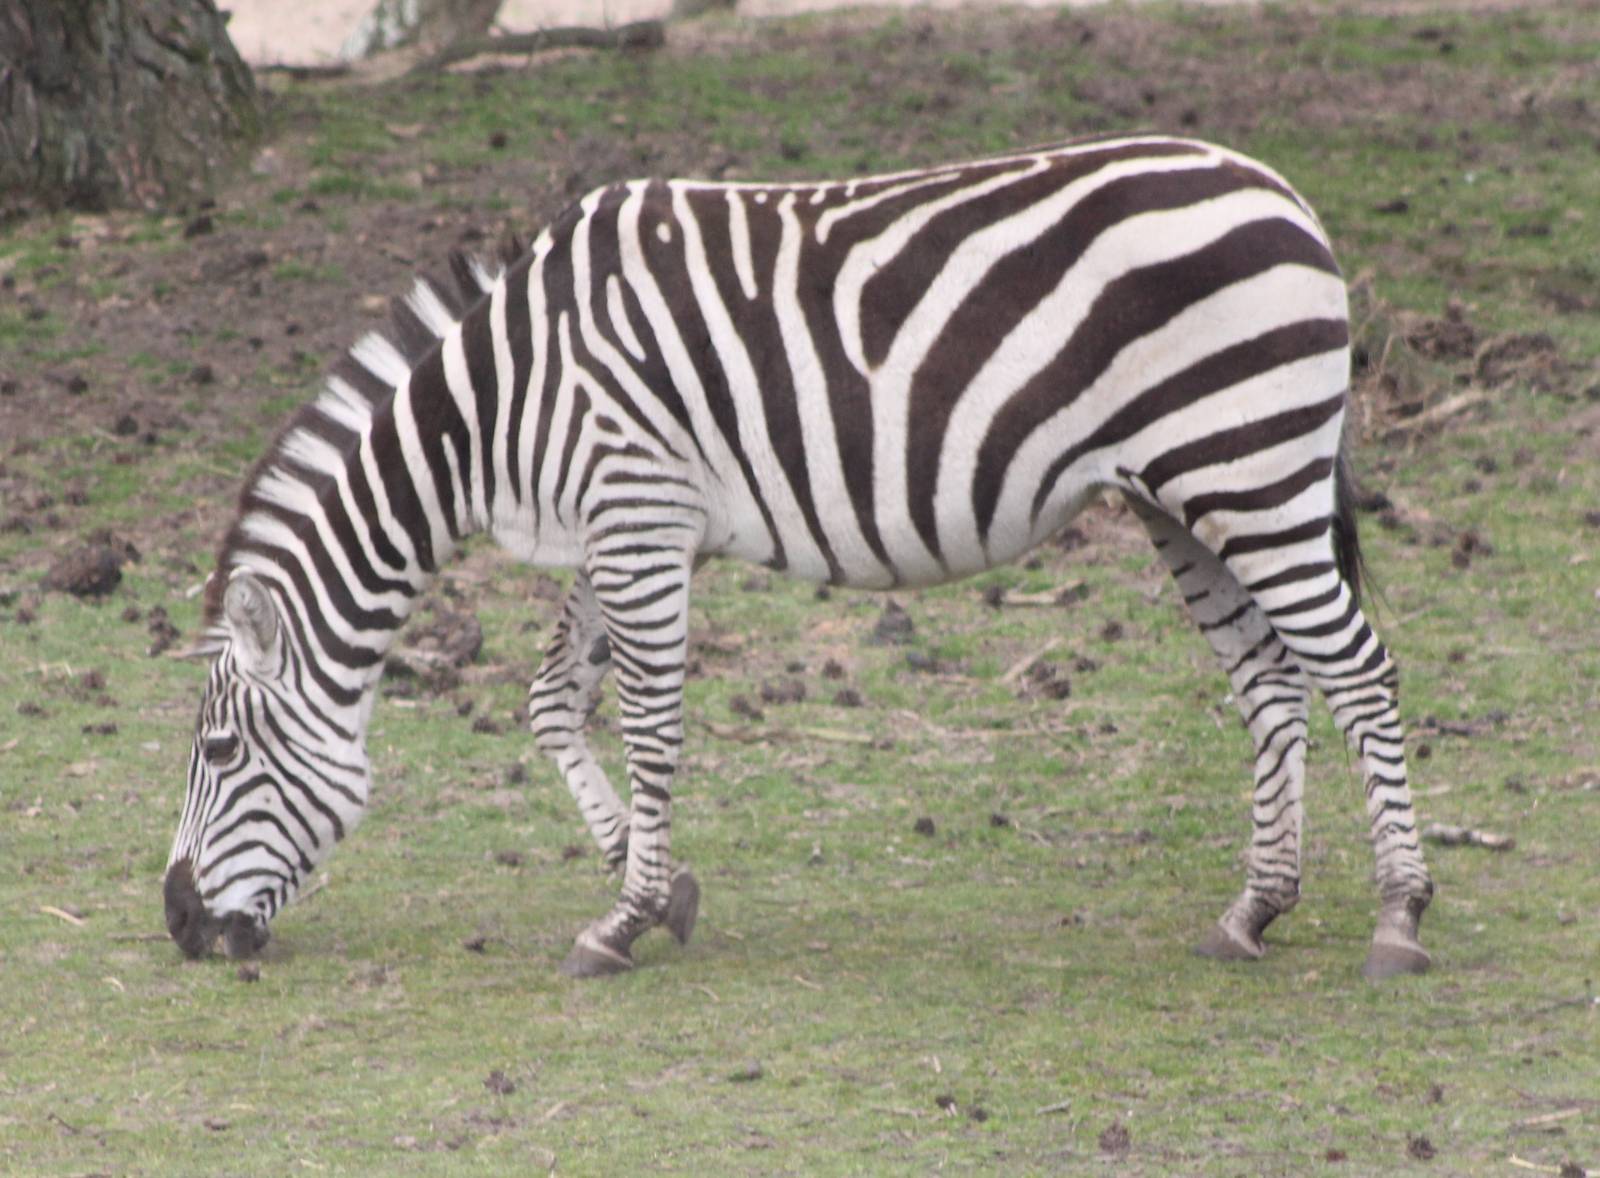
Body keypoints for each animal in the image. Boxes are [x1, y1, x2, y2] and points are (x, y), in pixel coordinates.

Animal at [164, 133, 1434, 982]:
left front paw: (620, 921)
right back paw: (1251, 911)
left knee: (1358, 668)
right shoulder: (618, 521)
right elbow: (547, 700)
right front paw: (656, 886)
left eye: (219, 749)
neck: (494, 404)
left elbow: (650, 725)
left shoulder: (636, 515)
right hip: (1185, 495)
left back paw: (1398, 915)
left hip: (1247, 468)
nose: (176, 923)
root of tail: (1288, 195)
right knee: (1270, 681)